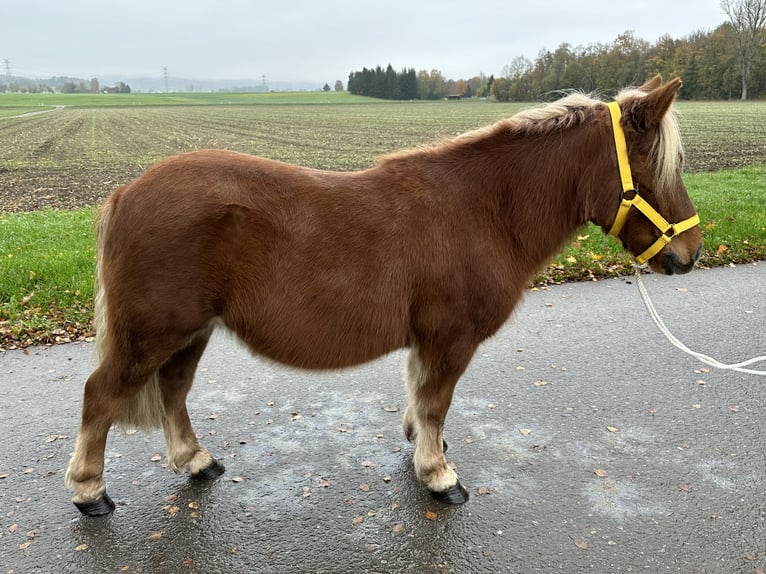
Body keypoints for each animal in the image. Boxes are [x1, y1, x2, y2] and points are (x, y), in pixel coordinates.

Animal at [66, 77, 704, 516]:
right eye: (654, 168)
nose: (690, 254)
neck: (484, 209)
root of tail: (125, 192)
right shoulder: (451, 339)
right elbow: (435, 401)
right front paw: (438, 475)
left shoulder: (428, 342)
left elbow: (421, 399)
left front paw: (422, 447)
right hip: (154, 332)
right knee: (101, 395)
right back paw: (90, 491)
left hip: (188, 333)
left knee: (172, 391)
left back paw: (196, 462)